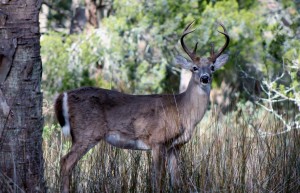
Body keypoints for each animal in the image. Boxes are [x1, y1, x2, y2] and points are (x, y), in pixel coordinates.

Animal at [54, 20, 230, 192]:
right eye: (194, 68)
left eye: (212, 67)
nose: (205, 78)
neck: (183, 110)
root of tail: (64, 95)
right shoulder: (158, 140)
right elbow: (158, 180)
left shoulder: (175, 147)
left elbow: (176, 182)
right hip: (87, 133)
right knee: (65, 161)